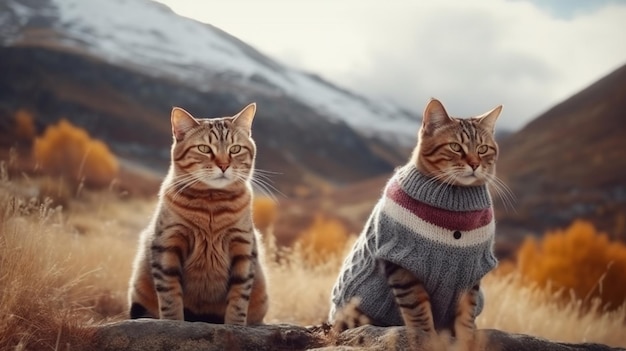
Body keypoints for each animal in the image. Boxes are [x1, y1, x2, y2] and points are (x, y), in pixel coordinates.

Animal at [129, 103, 268, 326]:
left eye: (235, 149)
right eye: (204, 149)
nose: (223, 165)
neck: (211, 206)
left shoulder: (244, 248)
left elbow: (239, 299)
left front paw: (235, 326)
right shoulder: (168, 244)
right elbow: (170, 296)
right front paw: (173, 323)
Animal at [330, 97, 500, 340]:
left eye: (483, 149)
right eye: (455, 147)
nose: (475, 164)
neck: (454, 198)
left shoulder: (471, 273)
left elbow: (466, 315)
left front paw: (467, 339)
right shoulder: (402, 265)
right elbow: (418, 311)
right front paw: (426, 338)